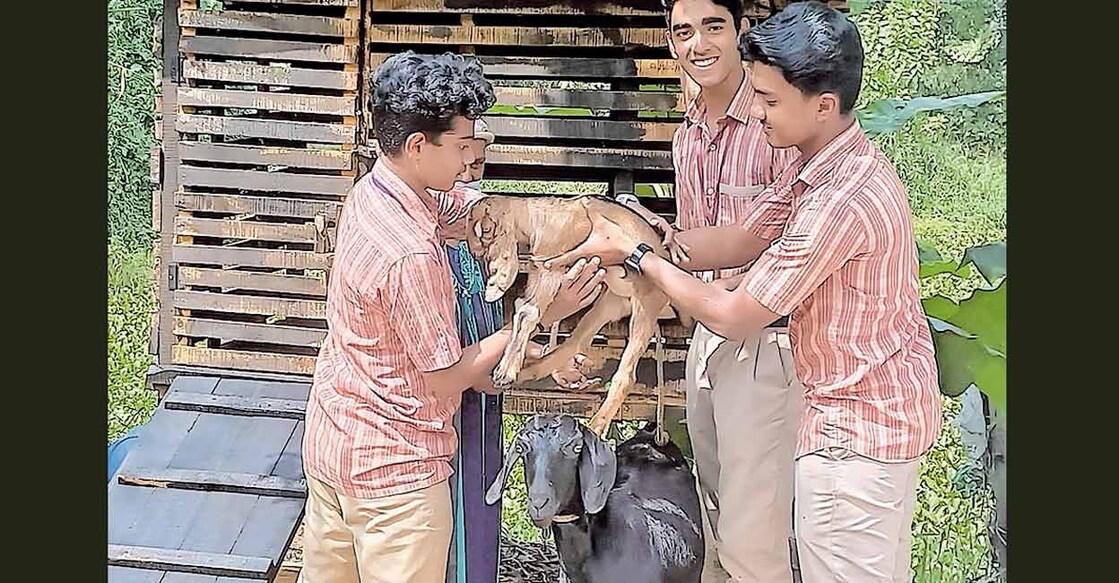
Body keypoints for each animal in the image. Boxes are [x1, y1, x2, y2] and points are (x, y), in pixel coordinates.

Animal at [463, 194, 689, 437]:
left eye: (484, 230)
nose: (475, 252)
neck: (541, 220)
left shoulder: (551, 268)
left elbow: (528, 312)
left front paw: (505, 371)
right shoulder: (540, 272)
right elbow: (523, 307)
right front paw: (507, 369)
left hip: (646, 304)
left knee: (625, 376)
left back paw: (595, 427)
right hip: (609, 304)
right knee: (575, 343)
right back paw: (528, 371)